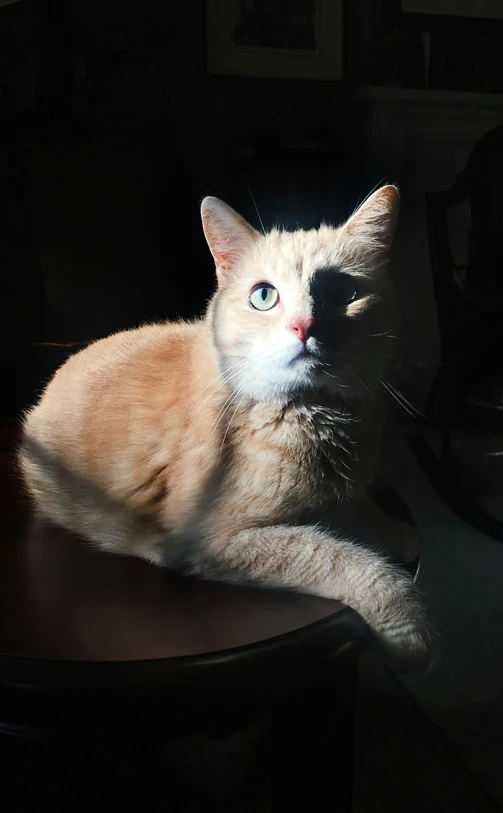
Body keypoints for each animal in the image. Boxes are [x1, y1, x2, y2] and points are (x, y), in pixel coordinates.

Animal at [18, 186, 438, 672]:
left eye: (342, 292)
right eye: (264, 296)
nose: (304, 327)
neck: (318, 417)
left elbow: (357, 509)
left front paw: (386, 528)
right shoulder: (207, 540)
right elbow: (337, 556)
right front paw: (409, 625)